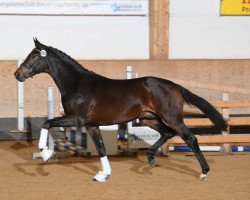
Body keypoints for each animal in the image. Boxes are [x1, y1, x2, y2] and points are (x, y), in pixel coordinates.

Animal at [14, 38, 228, 182]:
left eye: (34, 56)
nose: (17, 74)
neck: (76, 84)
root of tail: (175, 86)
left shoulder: (76, 119)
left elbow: (47, 123)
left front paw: (44, 153)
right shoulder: (91, 125)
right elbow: (100, 148)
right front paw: (103, 175)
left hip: (172, 118)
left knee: (190, 138)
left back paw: (203, 172)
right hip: (149, 118)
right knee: (167, 133)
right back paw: (150, 159)